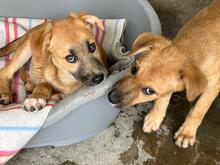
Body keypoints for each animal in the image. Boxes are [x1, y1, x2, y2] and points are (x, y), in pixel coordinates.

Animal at [108, 0, 220, 148]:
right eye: (134, 69)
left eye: (148, 91)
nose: (111, 97)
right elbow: (163, 98)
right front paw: (155, 117)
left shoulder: (213, 86)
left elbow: (199, 109)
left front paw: (187, 133)